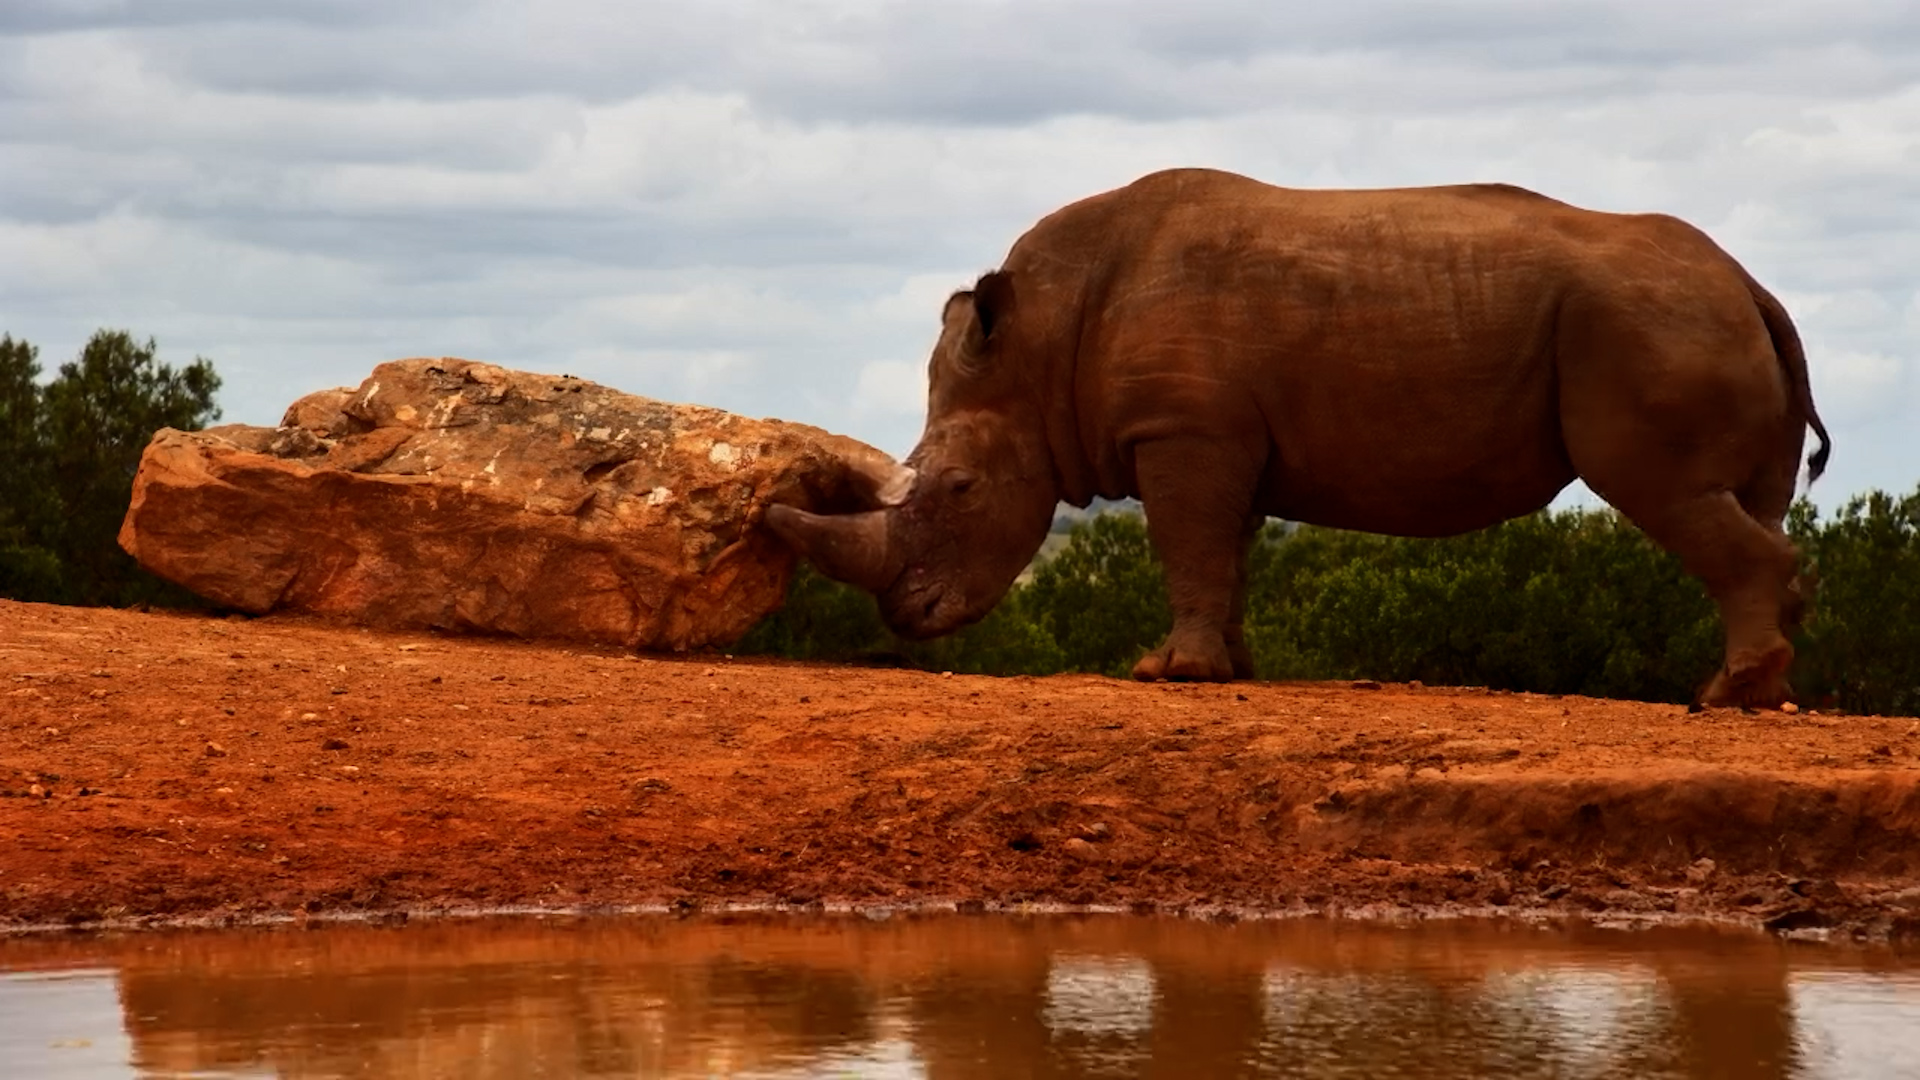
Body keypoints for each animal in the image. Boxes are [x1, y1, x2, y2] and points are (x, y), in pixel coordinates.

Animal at [768, 168, 1831, 708]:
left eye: (959, 492)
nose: (907, 616)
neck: (1041, 345)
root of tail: (1751, 285)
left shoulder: (1183, 430)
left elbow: (1187, 545)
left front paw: (1168, 677)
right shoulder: (1219, 436)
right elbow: (1223, 550)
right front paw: (1223, 670)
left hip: (1649, 325)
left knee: (1667, 491)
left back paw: (1725, 695)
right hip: (1694, 319)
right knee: (1749, 502)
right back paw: (1764, 691)